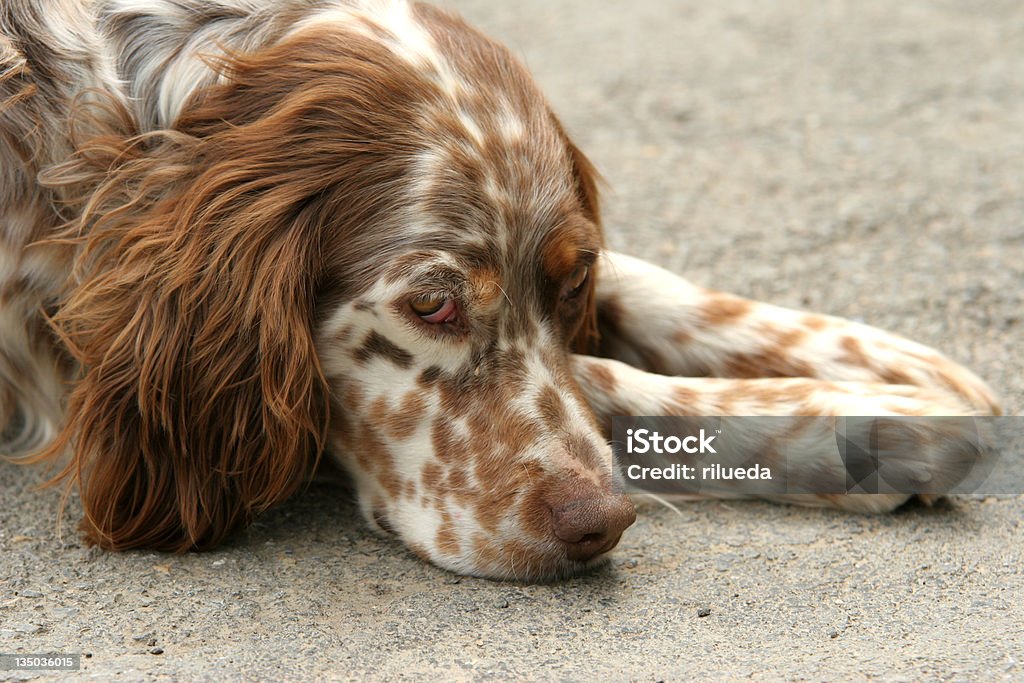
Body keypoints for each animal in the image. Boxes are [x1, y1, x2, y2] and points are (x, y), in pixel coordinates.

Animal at [0, 0, 999, 581]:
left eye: (572, 278)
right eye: (431, 304)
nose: (601, 525)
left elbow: (640, 296)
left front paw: (883, 366)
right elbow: (609, 380)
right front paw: (875, 426)